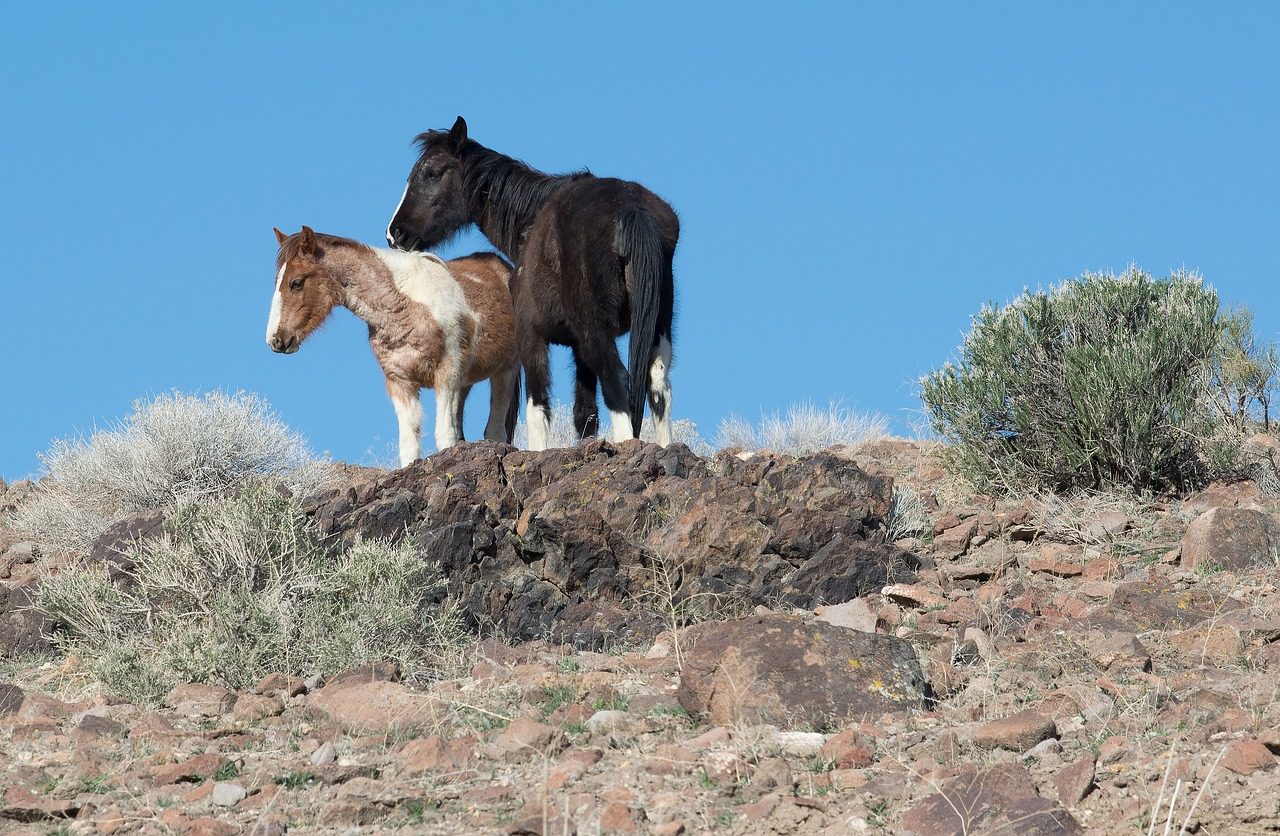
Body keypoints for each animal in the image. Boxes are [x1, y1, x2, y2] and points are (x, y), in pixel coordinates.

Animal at [265, 226, 520, 466]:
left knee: (495, 428)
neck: (407, 306)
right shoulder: (400, 382)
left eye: (296, 283)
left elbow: (444, 436)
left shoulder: (447, 376)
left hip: (505, 371)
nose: (275, 339)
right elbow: (409, 444)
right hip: (465, 382)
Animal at [385, 116, 678, 452]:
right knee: (657, 386)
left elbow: (538, 408)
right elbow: (584, 413)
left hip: (596, 333)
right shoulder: (578, 349)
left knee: (617, 380)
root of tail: (630, 209)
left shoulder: (531, 335)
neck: (532, 220)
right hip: (656, 328)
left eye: (431, 172)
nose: (395, 233)